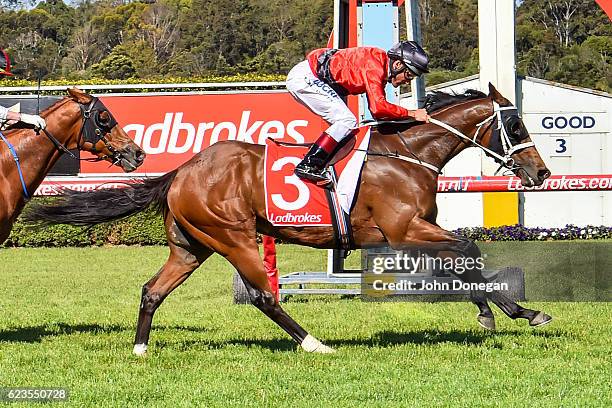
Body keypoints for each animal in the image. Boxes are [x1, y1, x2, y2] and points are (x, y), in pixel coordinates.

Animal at [27, 83, 556, 354]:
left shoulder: (408, 232)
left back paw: (140, 349)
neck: (408, 154)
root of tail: (184, 169)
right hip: (234, 237)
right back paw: (314, 343)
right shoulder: (404, 229)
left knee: (153, 289)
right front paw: (512, 312)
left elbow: (461, 259)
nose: (542, 172)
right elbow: (466, 249)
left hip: (191, 246)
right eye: (516, 125)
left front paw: (504, 311)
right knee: (264, 296)